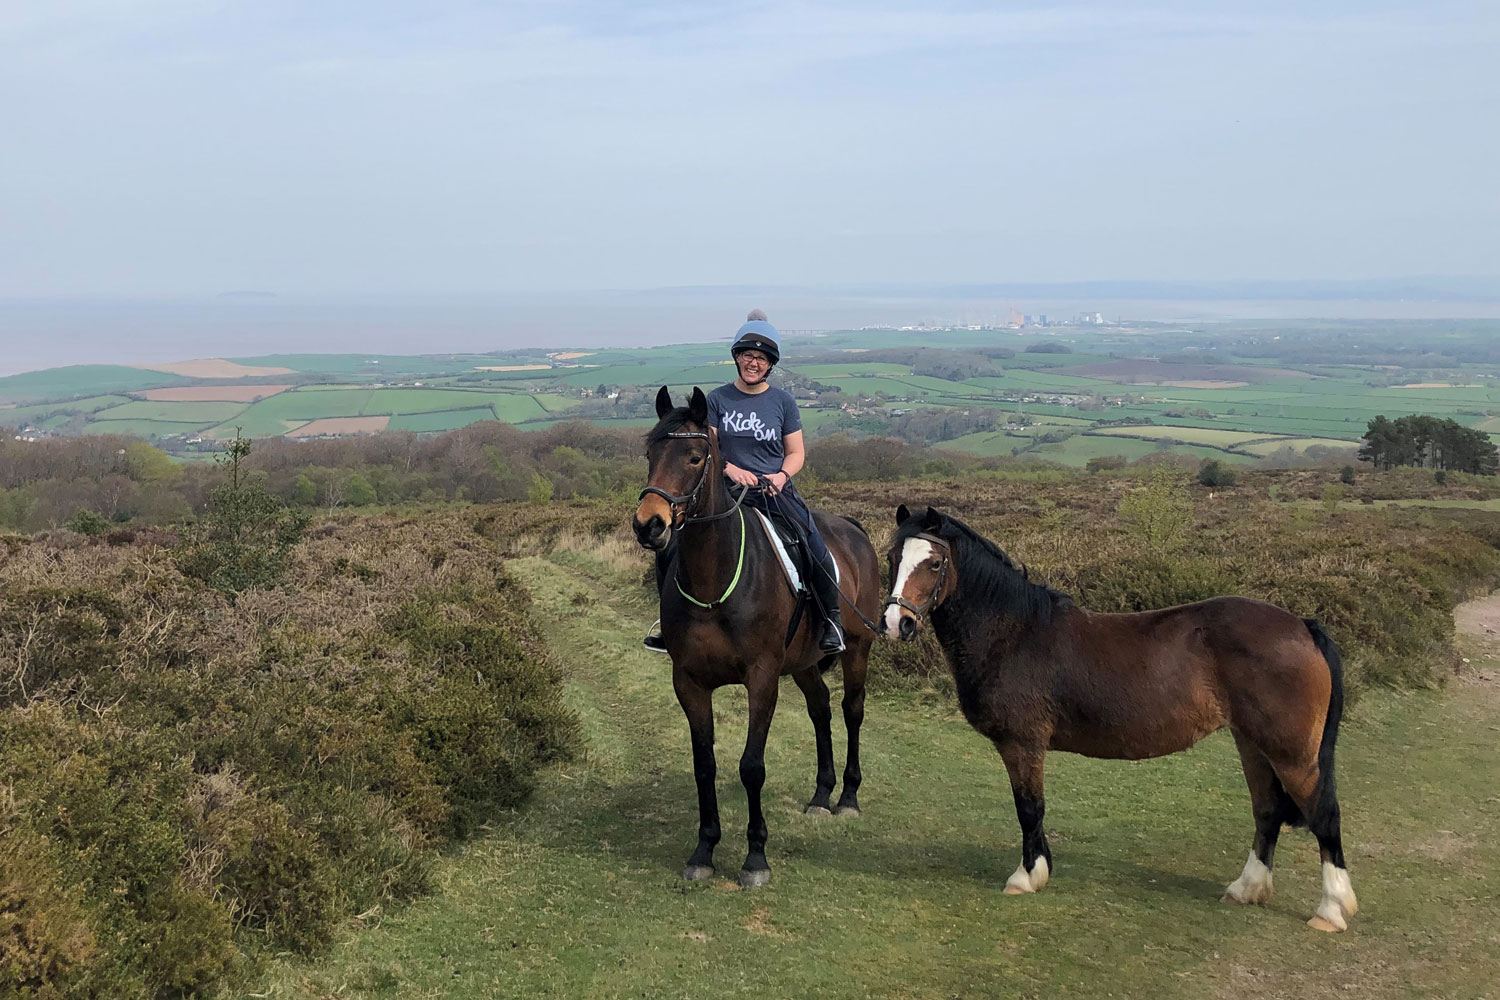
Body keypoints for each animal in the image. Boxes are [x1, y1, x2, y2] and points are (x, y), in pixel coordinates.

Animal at [630, 386, 876, 887]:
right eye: (650, 453)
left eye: (695, 456)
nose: (649, 524)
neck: (715, 578)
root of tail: (853, 528)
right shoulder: (689, 682)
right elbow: (704, 765)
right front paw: (704, 851)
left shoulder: (761, 679)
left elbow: (752, 766)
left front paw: (755, 857)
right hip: (802, 663)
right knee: (821, 709)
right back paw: (821, 796)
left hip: (856, 649)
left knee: (851, 710)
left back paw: (847, 798)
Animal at [876, 503, 1362, 935]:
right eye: (892, 559)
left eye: (934, 562)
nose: (896, 623)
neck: (1013, 633)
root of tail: (1302, 626)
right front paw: (1041, 867)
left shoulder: (1022, 744)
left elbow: (1029, 808)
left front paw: (1026, 877)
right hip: (1252, 744)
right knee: (1266, 811)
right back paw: (1247, 889)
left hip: (1292, 753)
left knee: (1324, 816)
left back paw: (1331, 910)